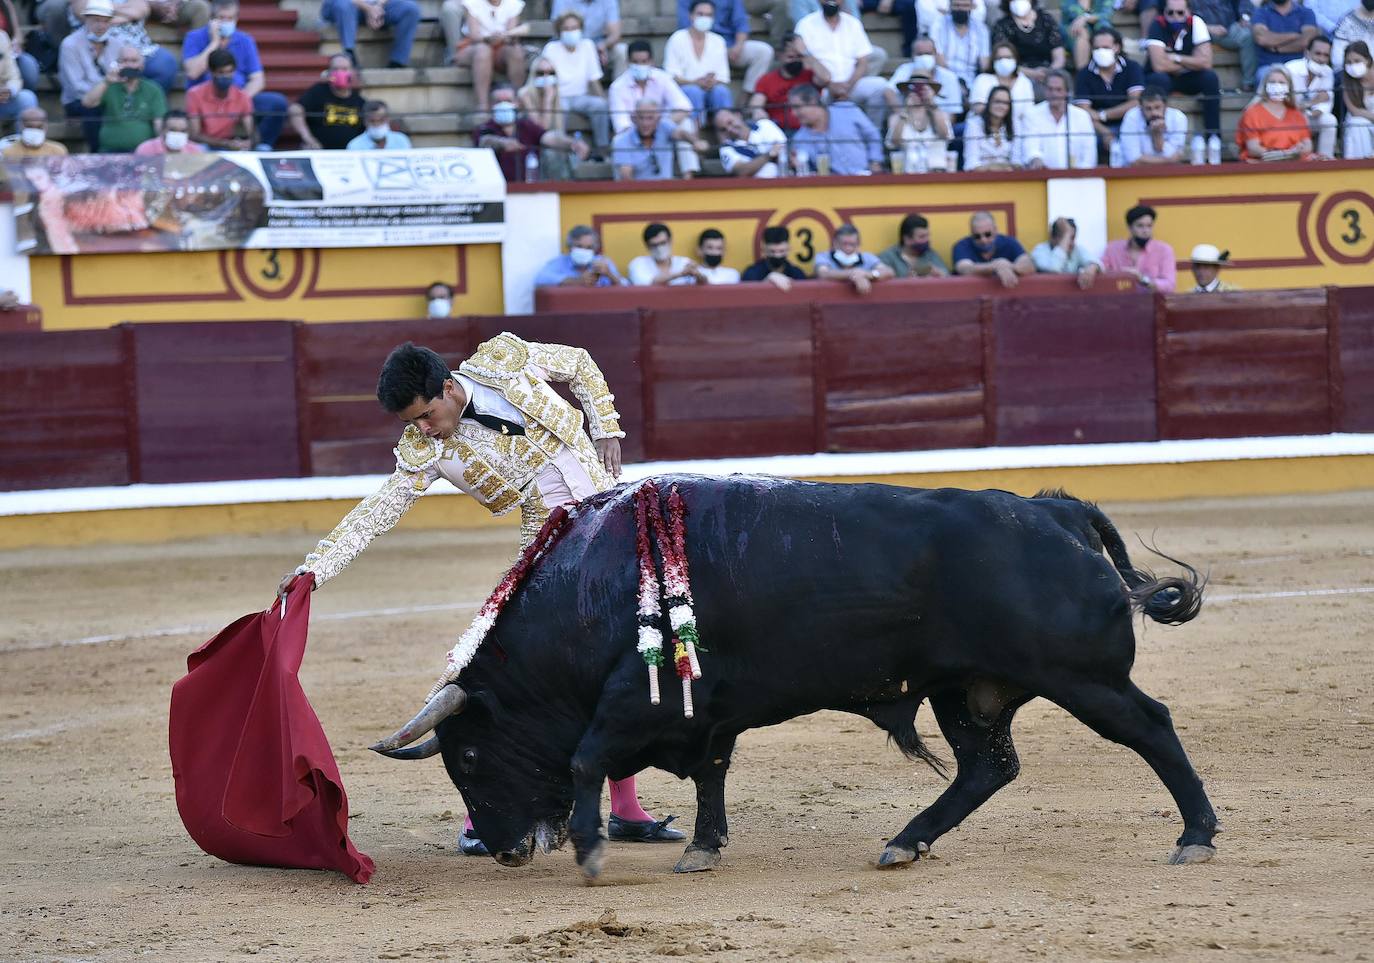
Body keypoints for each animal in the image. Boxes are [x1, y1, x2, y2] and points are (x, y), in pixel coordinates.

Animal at [370, 478, 1220, 873]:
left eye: (469, 755)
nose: (508, 849)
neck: (595, 590)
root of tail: (1056, 512)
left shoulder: (635, 701)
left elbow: (585, 757)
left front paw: (589, 849)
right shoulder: (705, 710)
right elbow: (710, 773)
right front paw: (703, 846)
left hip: (1083, 677)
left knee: (1151, 727)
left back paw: (1196, 835)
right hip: (966, 690)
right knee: (988, 766)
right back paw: (904, 841)